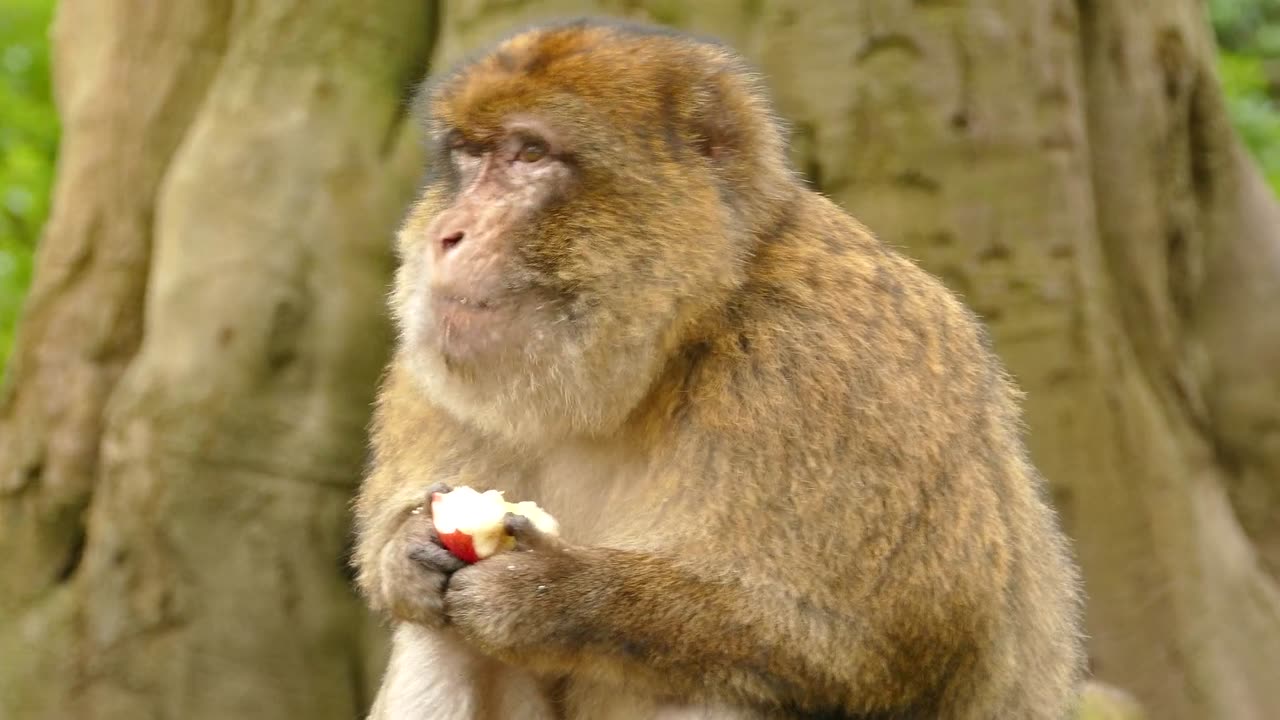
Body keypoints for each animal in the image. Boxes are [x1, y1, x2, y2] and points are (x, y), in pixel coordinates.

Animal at [350, 16, 1080, 717]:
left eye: (530, 153)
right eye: (469, 157)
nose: (448, 233)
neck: (673, 344)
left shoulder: (833, 365)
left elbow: (888, 646)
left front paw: (551, 594)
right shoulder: (429, 384)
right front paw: (405, 555)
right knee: (441, 637)